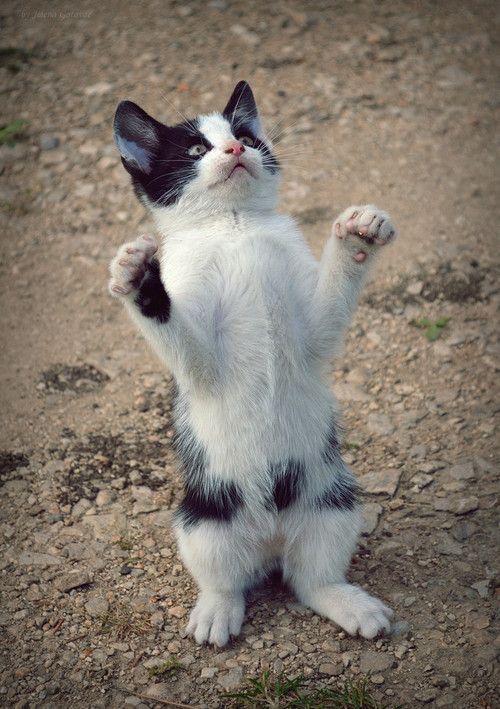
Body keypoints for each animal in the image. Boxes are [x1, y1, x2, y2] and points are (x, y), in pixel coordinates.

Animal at [108, 80, 394, 644]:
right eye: (196, 149)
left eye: (245, 134)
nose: (237, 148)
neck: (235, 229)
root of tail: (270, 538)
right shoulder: (198, 364)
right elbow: (184, 346)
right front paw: (141, 279)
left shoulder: (313, 336)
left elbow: (323, 322)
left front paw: (357, 236)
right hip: (203, 519)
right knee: (226, 577)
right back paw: (216, 612)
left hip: (334, 502)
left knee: (310, 580)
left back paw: (349, 604)